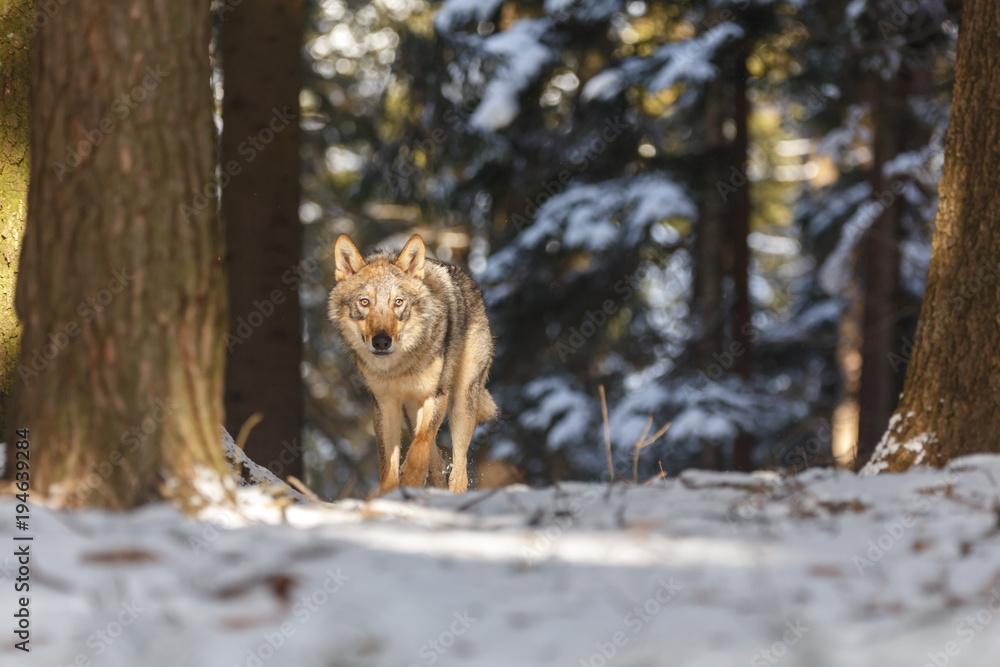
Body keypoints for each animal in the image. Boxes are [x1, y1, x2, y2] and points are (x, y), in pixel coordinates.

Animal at [328, 234, 498, 494]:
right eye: (365, 302)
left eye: (398, 302)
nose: (381, 341)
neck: (398, 367)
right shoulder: (385, 403)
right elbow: (388, 465)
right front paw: (391, 495)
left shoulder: (435, 395)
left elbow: (421, 446)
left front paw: (410, 478)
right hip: (409, 409)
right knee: (437, 460)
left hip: (462, 401)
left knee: (458, 468)